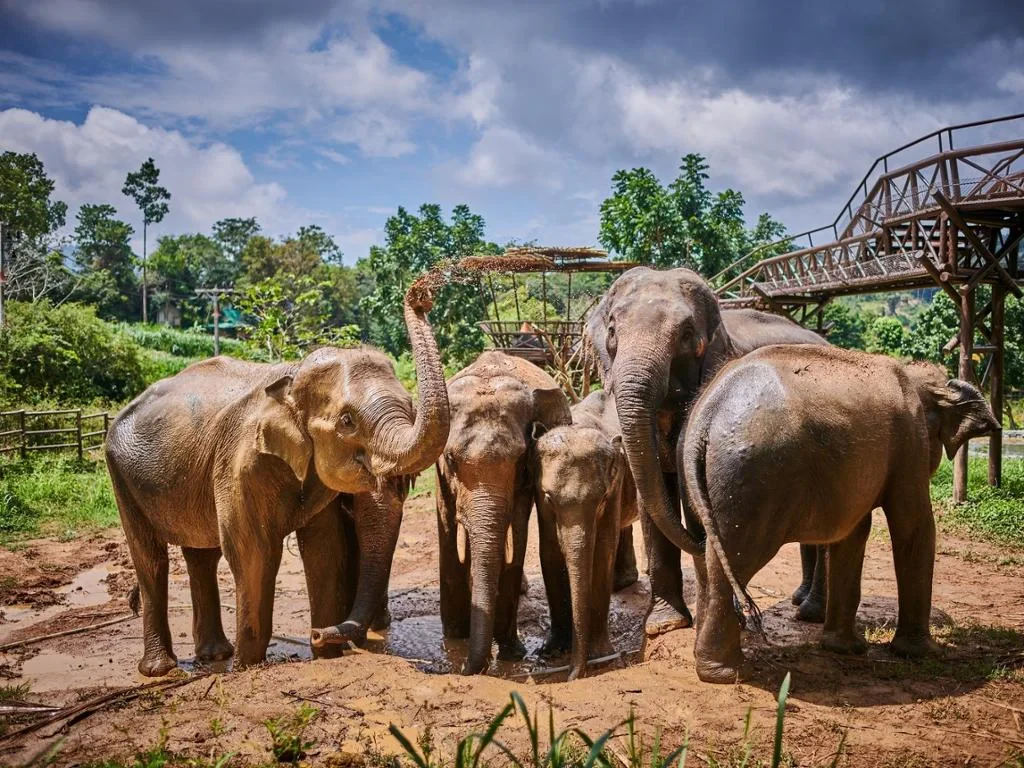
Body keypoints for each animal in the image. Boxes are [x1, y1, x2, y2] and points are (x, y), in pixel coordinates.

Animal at [106, 293, 449, 676]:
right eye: (347, 421)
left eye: (410, 407)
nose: (420, 296)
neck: (292, 376)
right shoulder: (240, 462)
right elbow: (252, 549)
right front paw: (245, 668)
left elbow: (325, 548)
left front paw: (327, 656)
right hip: (122, 475)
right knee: (150, 558)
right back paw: (161, 669)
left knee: (202, 555)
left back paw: (214, 656)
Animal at [435, 351, 571, 674]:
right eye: (451, 459)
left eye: (520, 457)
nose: (464, 669)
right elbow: (448, 528)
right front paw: (455, 638)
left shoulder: (524, 481)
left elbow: (517, 531)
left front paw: (512, 654)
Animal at [531, 418, 628, 680]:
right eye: (549, 499)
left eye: (602, 498)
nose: (572, 676)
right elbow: (550, 551)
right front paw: (552, 650)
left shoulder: (616, 485)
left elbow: (604, 550)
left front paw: (603, 656)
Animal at [585, 266, 829, 637]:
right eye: (612, 331)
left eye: (687, 336)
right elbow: (653, 496)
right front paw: (664, 623)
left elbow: (690, 497)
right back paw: (801, 600)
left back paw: (811, 611)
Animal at [680, 346, 1000, 683]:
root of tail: (709, 410)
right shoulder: (910, 438)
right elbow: (913, 525)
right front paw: (923, 653)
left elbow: (853, 534)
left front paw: (845, 648)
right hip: (754, 475)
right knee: (736, 559)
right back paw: (726, 673)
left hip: (708, 478)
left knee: (708, 558)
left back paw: (712, 663)